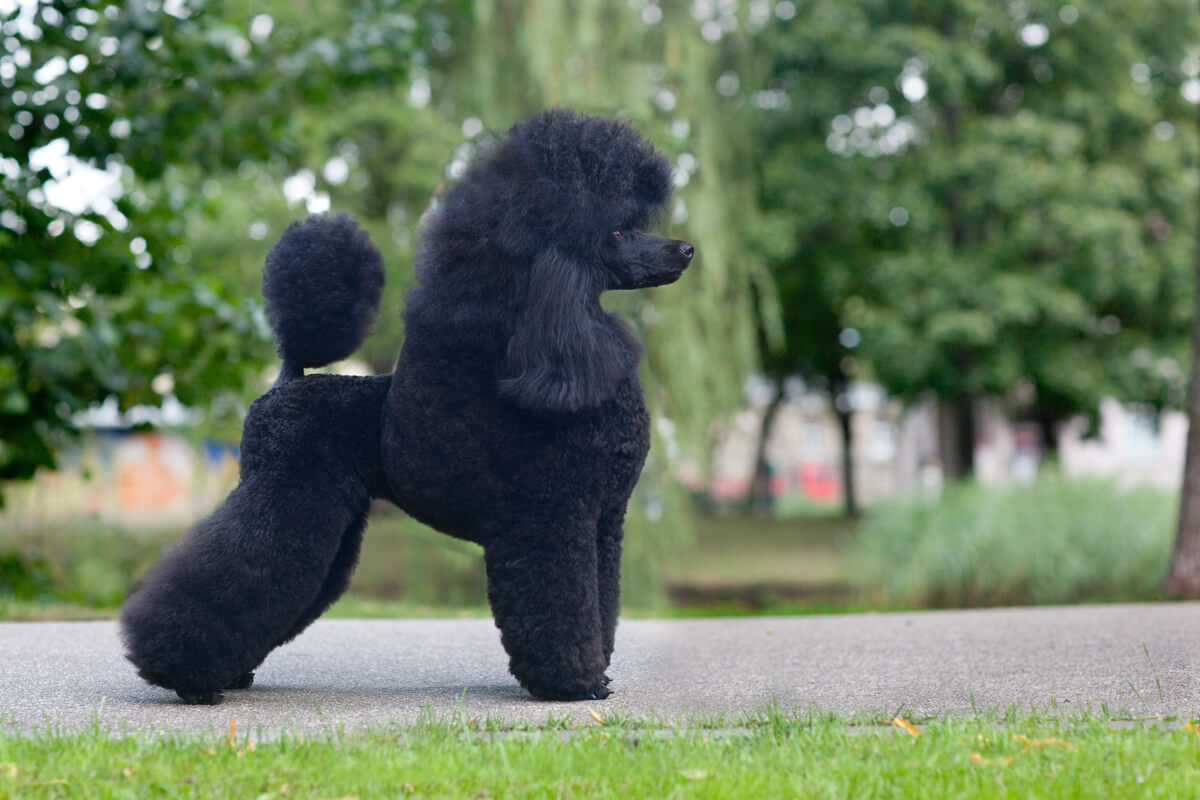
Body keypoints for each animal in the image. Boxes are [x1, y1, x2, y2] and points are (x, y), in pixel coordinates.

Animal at [120, 109, 696, 705]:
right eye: (619, 232)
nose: (684, 250)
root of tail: (285, 381)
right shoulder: (551, 517)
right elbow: (564, 603)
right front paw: (574, 686)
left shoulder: (605, 522)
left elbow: (602, 600)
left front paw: (597, 676)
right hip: (288, 492)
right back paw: (189, 680)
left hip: (331, 513)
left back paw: (228, 675)